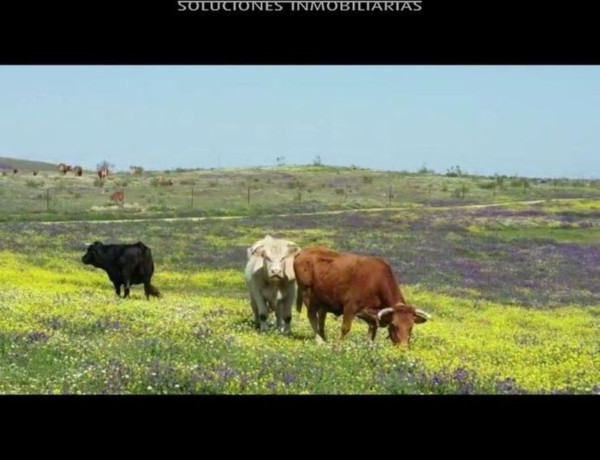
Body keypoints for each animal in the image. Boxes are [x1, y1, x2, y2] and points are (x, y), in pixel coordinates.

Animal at [292, 248, 428, 348]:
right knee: (312, 316)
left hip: (323, 300)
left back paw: (324, 338)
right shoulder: (350, 306)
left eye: (411, 326)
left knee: (321, 318)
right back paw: (319, 340)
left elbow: (373, 326)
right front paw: (338, 346)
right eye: (394, 324)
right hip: (308, 295)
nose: (403, 348)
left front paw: (369, 346)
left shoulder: (369, 311)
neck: (376, 281)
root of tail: (302, 252)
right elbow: (345, 328)